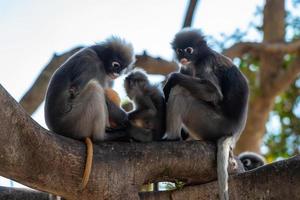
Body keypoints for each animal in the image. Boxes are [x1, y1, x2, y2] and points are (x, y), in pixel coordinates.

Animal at [44, 36, 134, 189]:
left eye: (122, 68)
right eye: (116, 65)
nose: (117, 74)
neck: (99, 58)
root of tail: (56, 129)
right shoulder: (88, 62)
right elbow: (74, 91)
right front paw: (129, 121)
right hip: (74, 122)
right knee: (94, 88)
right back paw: (104, 137)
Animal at [164, 28, 248, 200]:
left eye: (189, 50)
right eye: (179, 50)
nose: (183, 57)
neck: (197, 59)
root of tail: (233, 133)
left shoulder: (206, 63)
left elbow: (214, 93)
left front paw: (171, 78)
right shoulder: (186, 67)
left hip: (211, 124)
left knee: (180, 90)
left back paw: (172, 138)